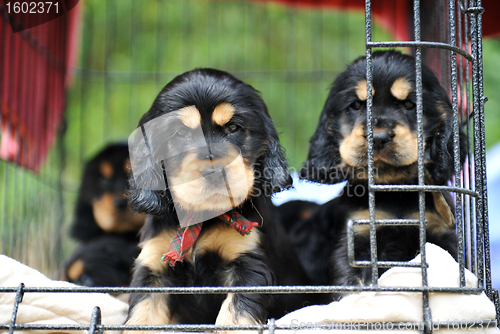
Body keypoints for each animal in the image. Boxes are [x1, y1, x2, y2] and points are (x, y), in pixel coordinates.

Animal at [125, 68, 312, 328]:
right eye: (180, 133)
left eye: (233, 127)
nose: (215, 171)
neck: (202, 217)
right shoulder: (154, 267)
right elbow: (142, 317)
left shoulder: (247, 263)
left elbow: (235, 314)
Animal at [296, 51, 464, 294]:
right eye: (356, 105)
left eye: (410, 104)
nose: (378, 137)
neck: (393, 191)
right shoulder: (354, 238)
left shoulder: (440, 233)